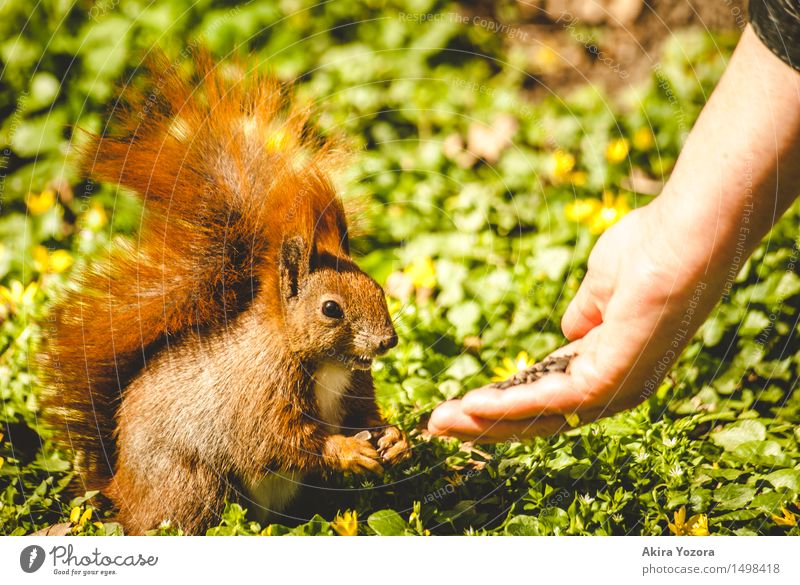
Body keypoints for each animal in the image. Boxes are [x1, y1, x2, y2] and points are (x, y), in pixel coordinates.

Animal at [38, 51, 410, 532]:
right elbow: (279, 441)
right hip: (192, 487)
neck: (325, 364)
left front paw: (396, 439)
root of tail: (118, 489)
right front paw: (347, 449)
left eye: (378, 287)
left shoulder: (355, 386)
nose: (388, 341)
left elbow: (365, 416)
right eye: (331, 309)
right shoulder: (258, 398)